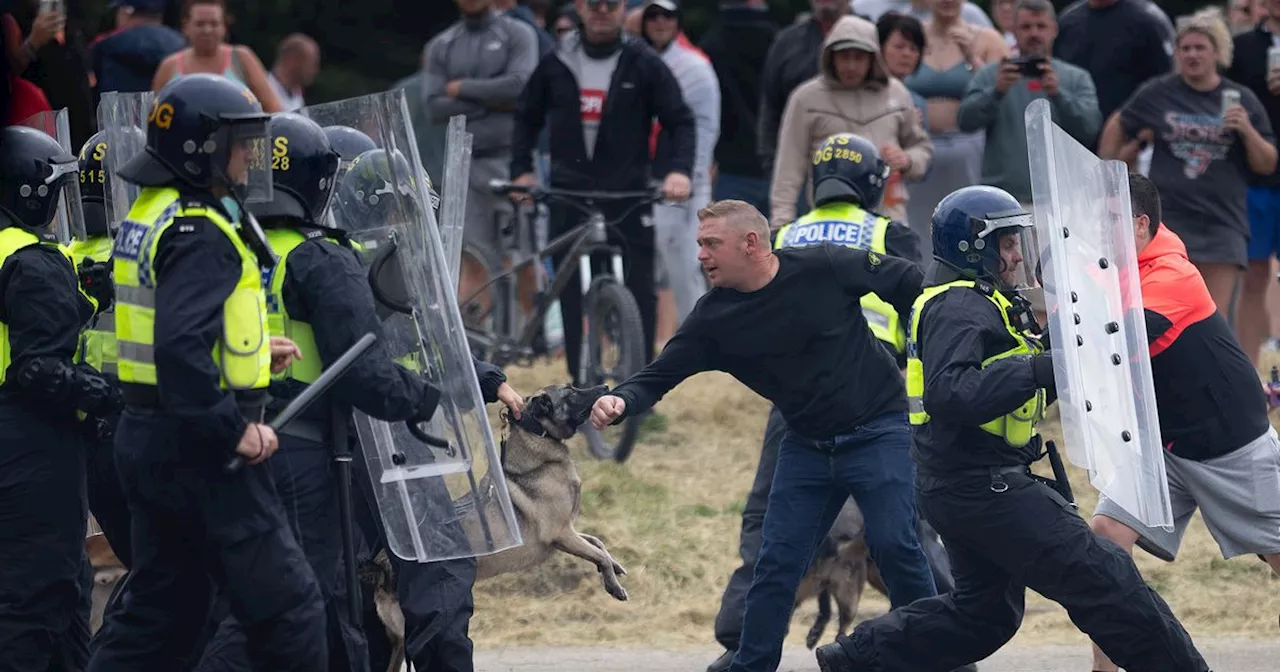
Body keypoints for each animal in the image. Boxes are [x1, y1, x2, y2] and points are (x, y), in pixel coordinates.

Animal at [358, 381, 627, 670]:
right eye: (572, 392)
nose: (605, 386)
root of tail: (382, 565)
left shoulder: (569, 532)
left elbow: (598, 543)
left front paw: (614, 567)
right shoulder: (562, 534)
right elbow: (598, 552)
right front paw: (613, 585)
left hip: (397, 643)